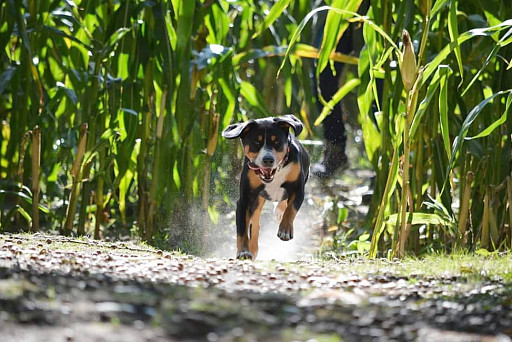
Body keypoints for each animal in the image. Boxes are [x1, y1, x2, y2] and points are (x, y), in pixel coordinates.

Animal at [222, 113, 310, 260]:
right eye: (256, 142)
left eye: (277, 141)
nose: (268, 159)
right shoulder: (245, 198)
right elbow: (242, 228)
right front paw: (243, 251)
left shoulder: (298, 188)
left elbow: (291, 209)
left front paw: (285, 230)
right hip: (257, 199)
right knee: (255, 223)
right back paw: (252, 248)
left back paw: (279, 212)